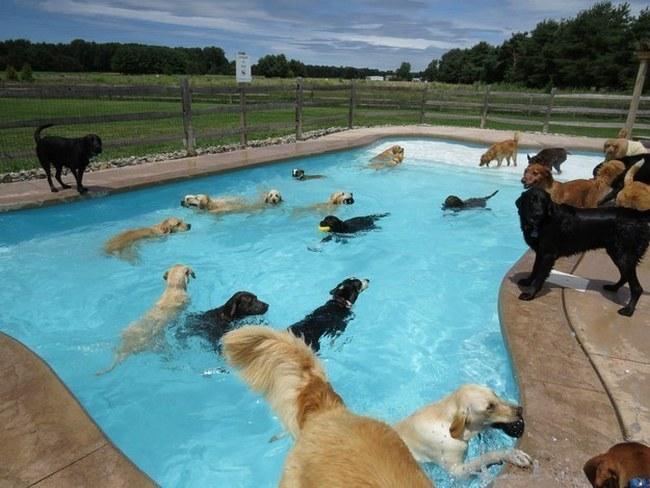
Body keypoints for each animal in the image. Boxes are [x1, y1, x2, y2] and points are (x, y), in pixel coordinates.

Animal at [392, 386, 528, 476]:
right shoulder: (456, 471)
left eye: (495, 394)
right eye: (489, 407)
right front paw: (511, 454)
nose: (520, 410)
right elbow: (485, 457)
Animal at [512, 187, 644, 316]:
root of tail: (639, 216)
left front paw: (530, 294)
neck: (543, 223)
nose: (538, 214)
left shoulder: (548, 254)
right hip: (617, 253)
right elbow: (535, 269)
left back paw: (628, 310)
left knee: (637, 287)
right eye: (531, 200)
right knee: (625, 277)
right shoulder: (540, 252)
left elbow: (539, 277)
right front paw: (527, 281)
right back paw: (613, 288)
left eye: (544, 202)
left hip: (623, 255)